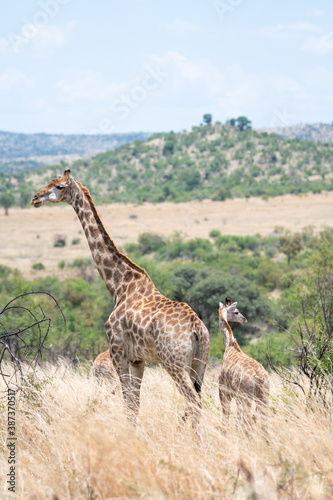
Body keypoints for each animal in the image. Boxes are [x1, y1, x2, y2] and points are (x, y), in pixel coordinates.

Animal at [31, 170, 208, 428]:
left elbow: (128, 404)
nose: (35, 198)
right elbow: (135, 404)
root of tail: (197, 328)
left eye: (60, 186)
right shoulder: (138, 360)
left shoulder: (118, 351)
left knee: (193, 402)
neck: (118, 285)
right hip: (199, 364)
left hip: (173, 363)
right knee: (199, 401)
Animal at [218, 298, 270, 428]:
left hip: (246, 398)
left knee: (247, 420)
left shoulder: (224, 390)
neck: (229, 345)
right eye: (236, 312)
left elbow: (226, 415)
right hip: (264, 396)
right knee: (264, 421)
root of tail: (259, 378)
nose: (244, 319)